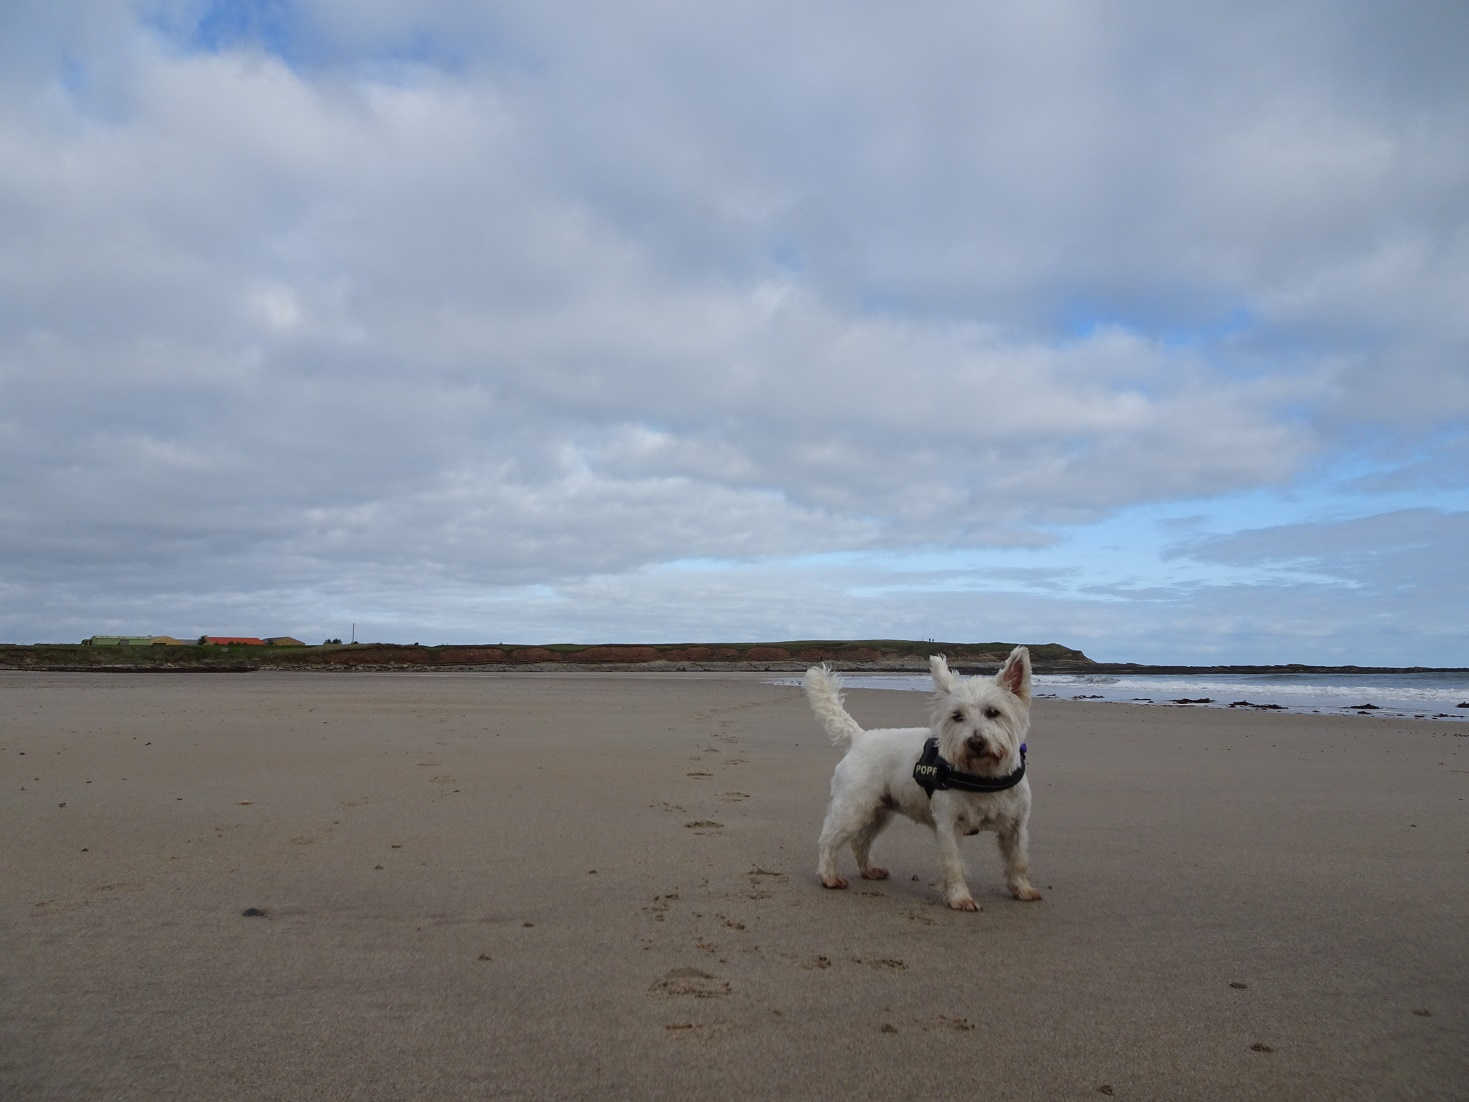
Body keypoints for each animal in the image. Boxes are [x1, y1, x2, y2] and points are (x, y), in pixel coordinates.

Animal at [810, 652, 1040, 910]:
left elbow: (1018, 860)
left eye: (993, 712)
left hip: (879, 812)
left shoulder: (1015, 826)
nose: (975, 743)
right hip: (853, 808)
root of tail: (860, 737)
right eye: (957, 716)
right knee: (828, 840)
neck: (983, 776)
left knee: (860, 841)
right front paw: (960, 898)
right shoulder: (948, 825)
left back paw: (869, 870)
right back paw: (829, 876)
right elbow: (954, 864)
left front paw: (1023, 890)